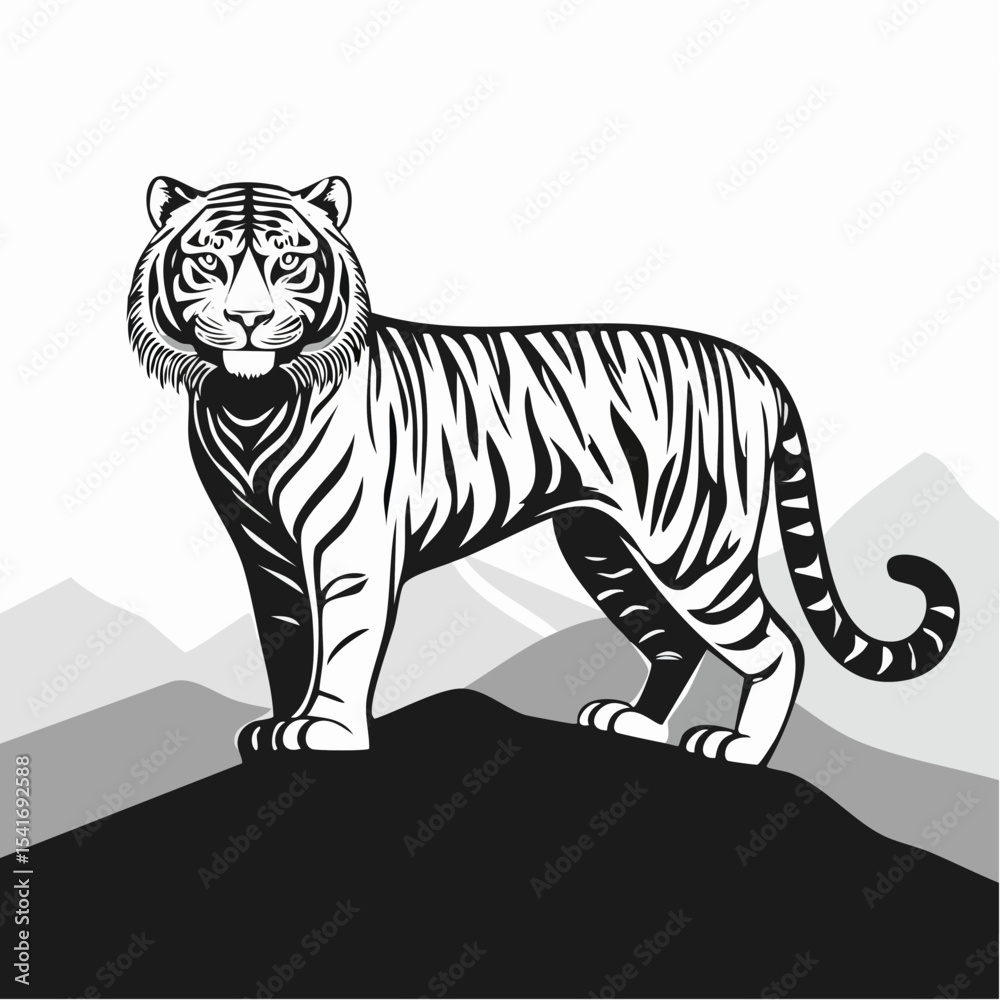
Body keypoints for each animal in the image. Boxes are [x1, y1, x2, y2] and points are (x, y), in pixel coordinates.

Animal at [128, 175, 960, 765]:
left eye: (289, 261)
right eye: (208, 261)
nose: (248, 319)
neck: (249, 405)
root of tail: (761, 370)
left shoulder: (350, 544)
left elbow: (345, 640)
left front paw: (326, 729)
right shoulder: (263, 550)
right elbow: (286, 641)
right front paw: (276, 725)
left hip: (693, 549)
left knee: (778, 644)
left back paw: (741, 749)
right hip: (601, 546)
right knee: (676, 641)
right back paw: (632, 722)